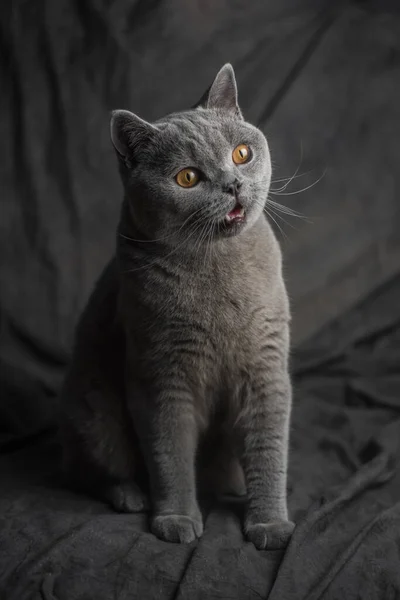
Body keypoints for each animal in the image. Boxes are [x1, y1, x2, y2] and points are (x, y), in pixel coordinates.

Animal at [61, 64, 296, 548]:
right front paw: (176, 519)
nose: (232, 184)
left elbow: (269, 449)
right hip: (97, 415)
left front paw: (269, 524)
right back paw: (130, 496)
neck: (218, 265)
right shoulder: (161, 375)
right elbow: (169, 453)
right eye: (187, 178)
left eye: (242, 154)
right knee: (86, 471)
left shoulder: (266, 367)